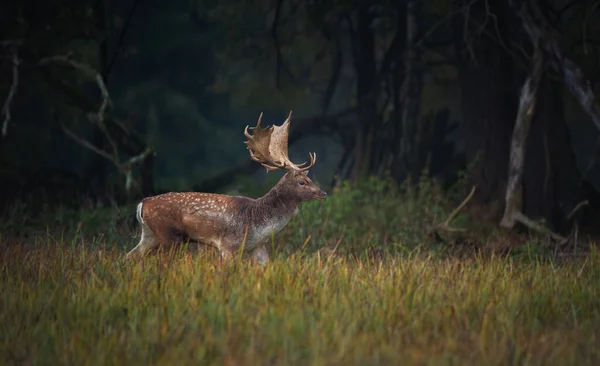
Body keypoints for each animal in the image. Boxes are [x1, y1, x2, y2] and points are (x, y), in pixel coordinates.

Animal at [124, 111, 326, 266]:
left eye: (309, 178)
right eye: (302, 182)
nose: (323, 193)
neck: (257, 221)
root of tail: (142, 204)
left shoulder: (258, 247)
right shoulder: (228, 244)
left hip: (149, 235)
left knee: (129, 256)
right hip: (168, 236)